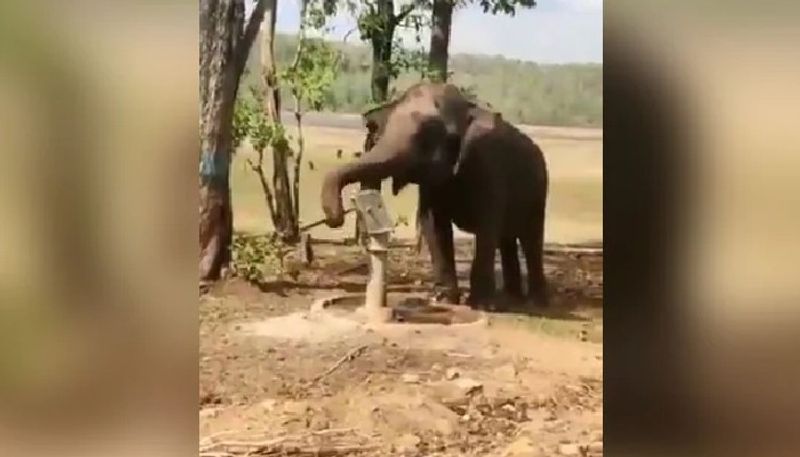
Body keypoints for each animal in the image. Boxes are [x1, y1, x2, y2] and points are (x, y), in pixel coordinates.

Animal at [318, 83, 552, 308]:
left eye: (426, 135)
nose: (336, 217)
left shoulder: (489, 166)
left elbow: (487, 226)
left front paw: (482, 305)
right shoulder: (432, 183)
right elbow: (433, 223)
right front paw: (442, 299)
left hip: (539, 192)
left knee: (530, 238)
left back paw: (535, 302)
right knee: (507, 239)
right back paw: (512, 298)